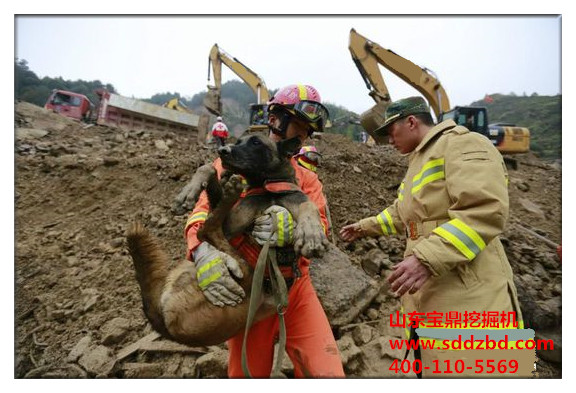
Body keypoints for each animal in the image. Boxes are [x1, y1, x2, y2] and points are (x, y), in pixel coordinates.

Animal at [128, 133, 330, 344]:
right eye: (239, 141)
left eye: (256, 142)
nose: (222, 151)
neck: (266, 185)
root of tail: (165, 325)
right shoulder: (231, 223)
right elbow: (208, 168)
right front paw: (189, 190)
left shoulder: (295, 199)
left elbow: (310, 206)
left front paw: (312, 234)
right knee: (206, 229)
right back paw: (228, 190)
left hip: (247, 274)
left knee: (207, 230)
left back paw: (231, 191)